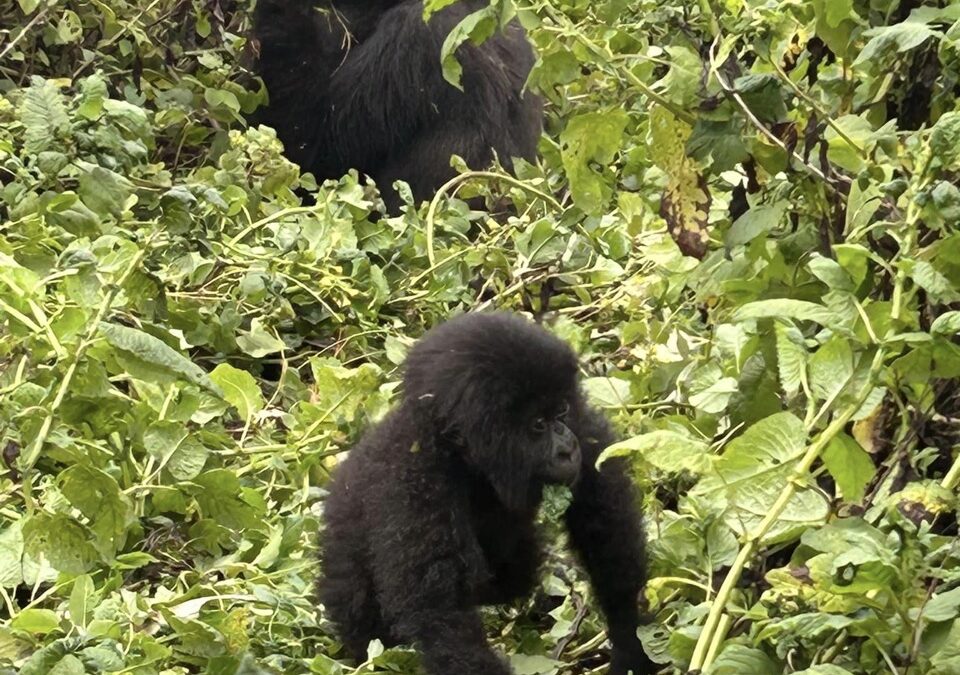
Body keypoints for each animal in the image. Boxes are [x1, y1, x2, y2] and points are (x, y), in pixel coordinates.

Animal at [318, 314, 656, 675]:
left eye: (561, 411)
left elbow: (603, 519)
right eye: (538, 425)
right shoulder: (412, 486)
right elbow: (441, 614)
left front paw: (630, 639)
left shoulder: (581, 423)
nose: (568, 449)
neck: (464, 457)